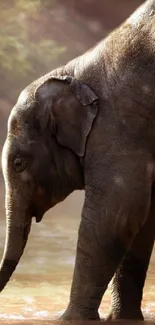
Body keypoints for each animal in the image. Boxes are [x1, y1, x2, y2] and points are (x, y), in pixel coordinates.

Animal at [1, 0, 155, 320]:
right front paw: (122, 320)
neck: (73, 71)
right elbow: (143, 217)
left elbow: (118, 212)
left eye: (19, 164)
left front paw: (68, 320)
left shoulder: (119, 126)